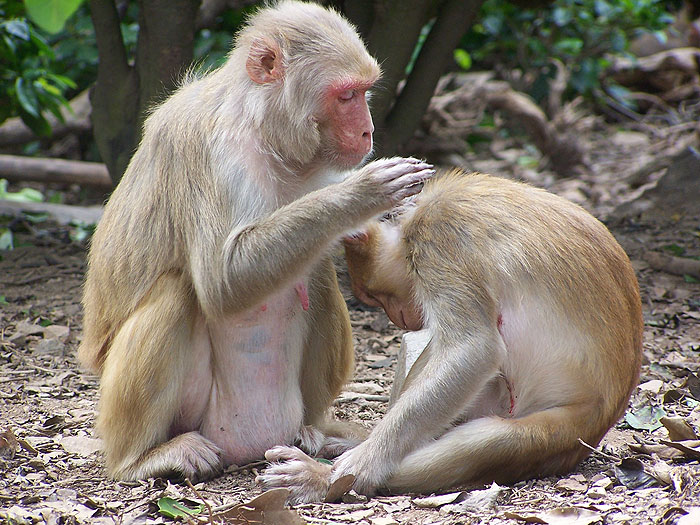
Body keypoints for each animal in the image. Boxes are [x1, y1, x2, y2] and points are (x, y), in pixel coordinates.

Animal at [79, 0, 434, 482]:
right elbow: (222, 281)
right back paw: (141, 458)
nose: (368, 132)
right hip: (194, 415)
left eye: (364, 91)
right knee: (179, 290)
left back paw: (315, 432)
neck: (263, 128)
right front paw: (363, 193)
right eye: (346, 96)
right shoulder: (214, 151)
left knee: (314, 271)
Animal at [260, 170, 644, 502]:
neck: (418, 215)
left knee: (485, 442)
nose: (397, 318)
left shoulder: (441, 241)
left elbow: (474, 349)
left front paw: (356, 466)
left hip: (563, 429)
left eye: (373, 297)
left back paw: (326, 477)